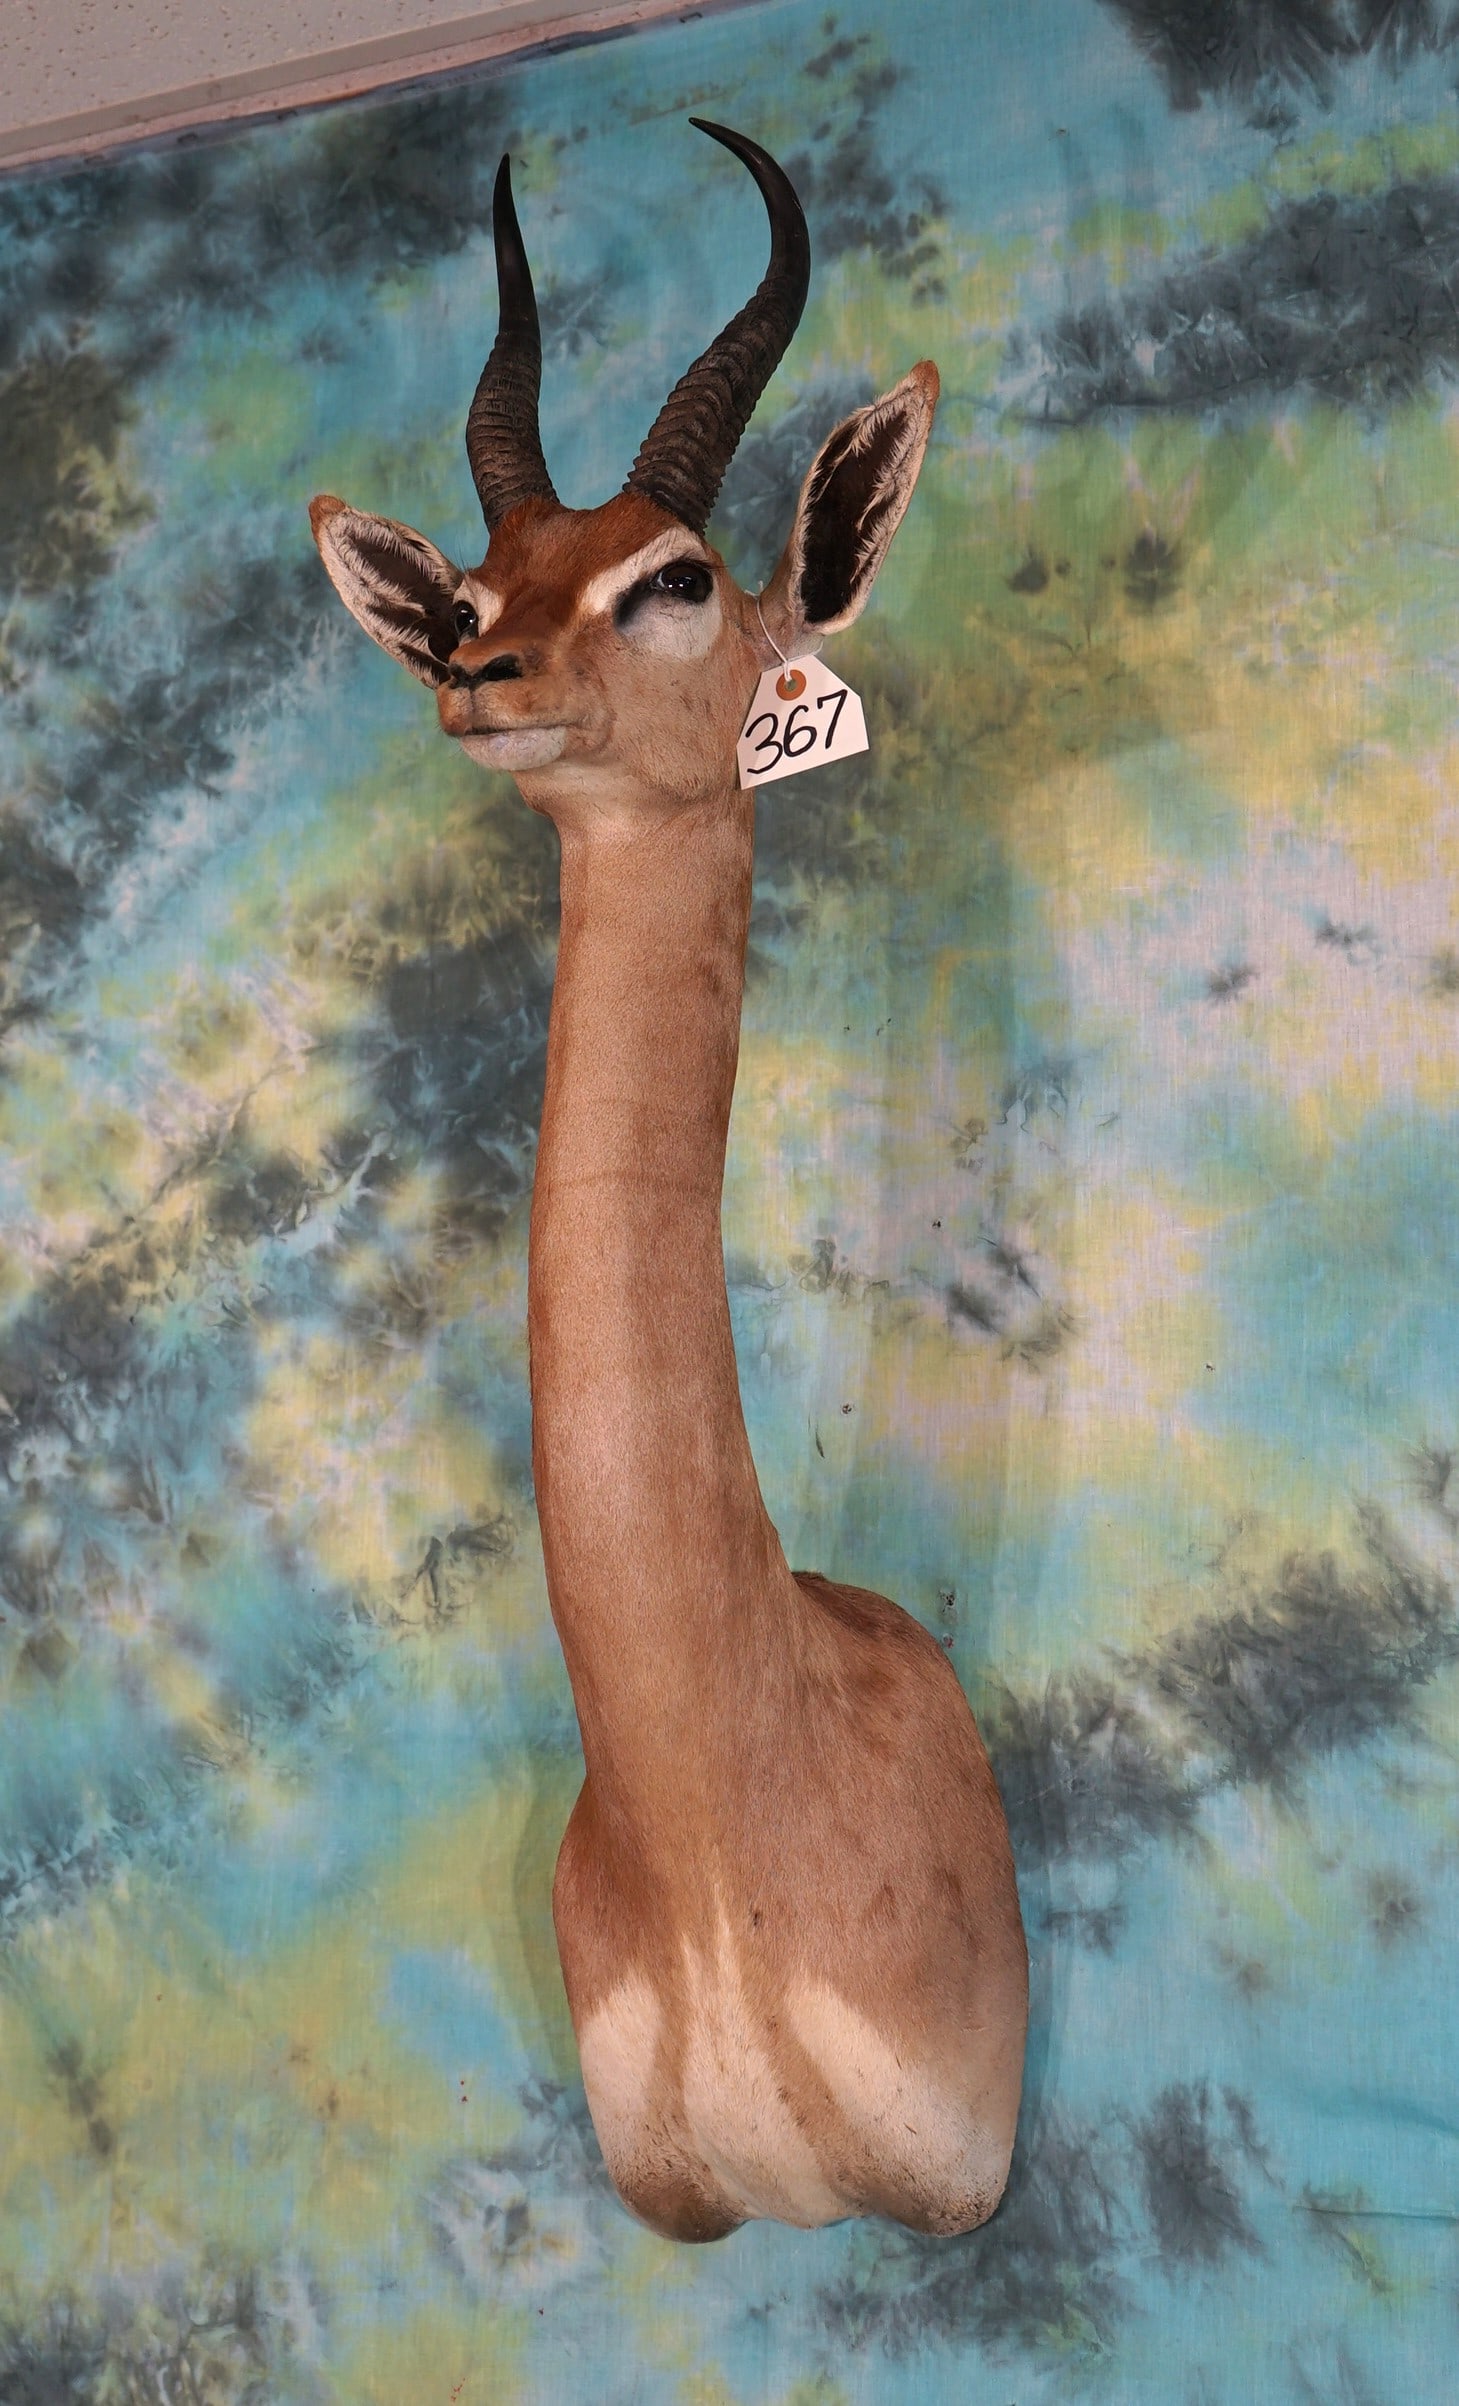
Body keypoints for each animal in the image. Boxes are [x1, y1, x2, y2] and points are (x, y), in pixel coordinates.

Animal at [310, 121, 1026, 2242]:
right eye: (474, 578)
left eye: (676, 573)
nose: (475, 668)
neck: (717, 1843)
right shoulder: (668, 2202)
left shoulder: (955, 2193)